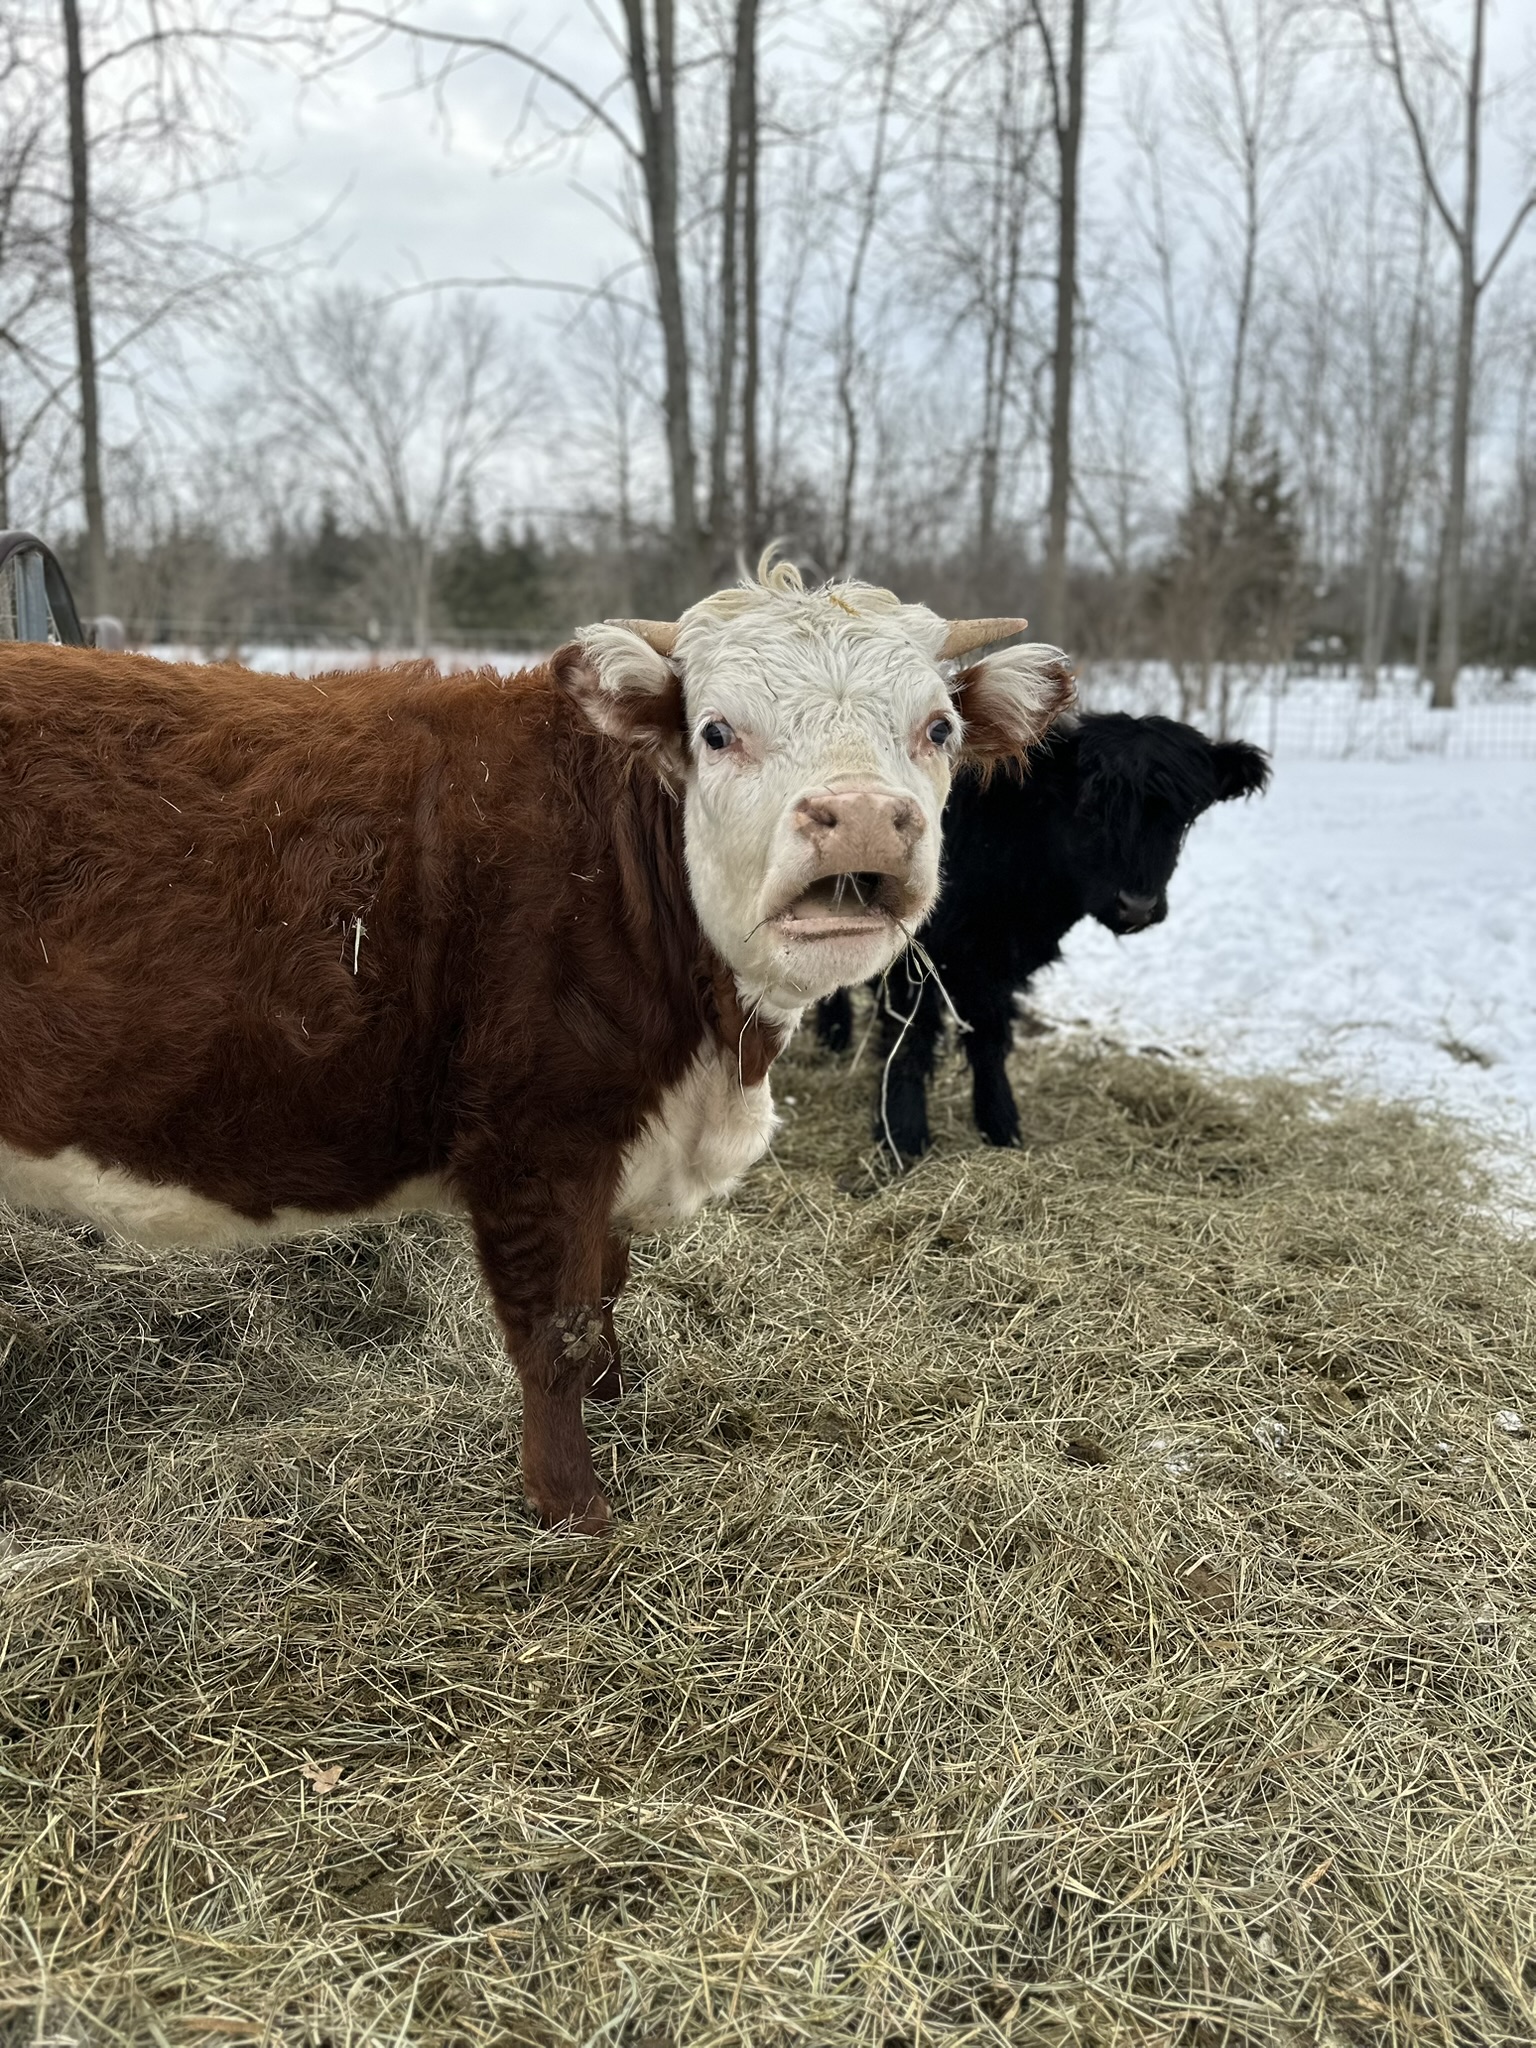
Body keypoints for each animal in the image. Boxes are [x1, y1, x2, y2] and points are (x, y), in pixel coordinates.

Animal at [0, 557, 1074, 1531]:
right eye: (717, 730)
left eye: (937, 728)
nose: (857, 820)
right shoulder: (537, 1138)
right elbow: (554, 1326)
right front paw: (572, 1504)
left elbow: (606, 1288)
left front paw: (616, 1393)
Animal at [815, 711, 1270, 1162]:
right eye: (1089, 806)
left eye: (1184, 816)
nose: (1138, 905)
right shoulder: (917, 959)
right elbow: (911, 1042)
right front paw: (902, 1138)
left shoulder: (998, 963)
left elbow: (990, 1041)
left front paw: (1000, 1126)